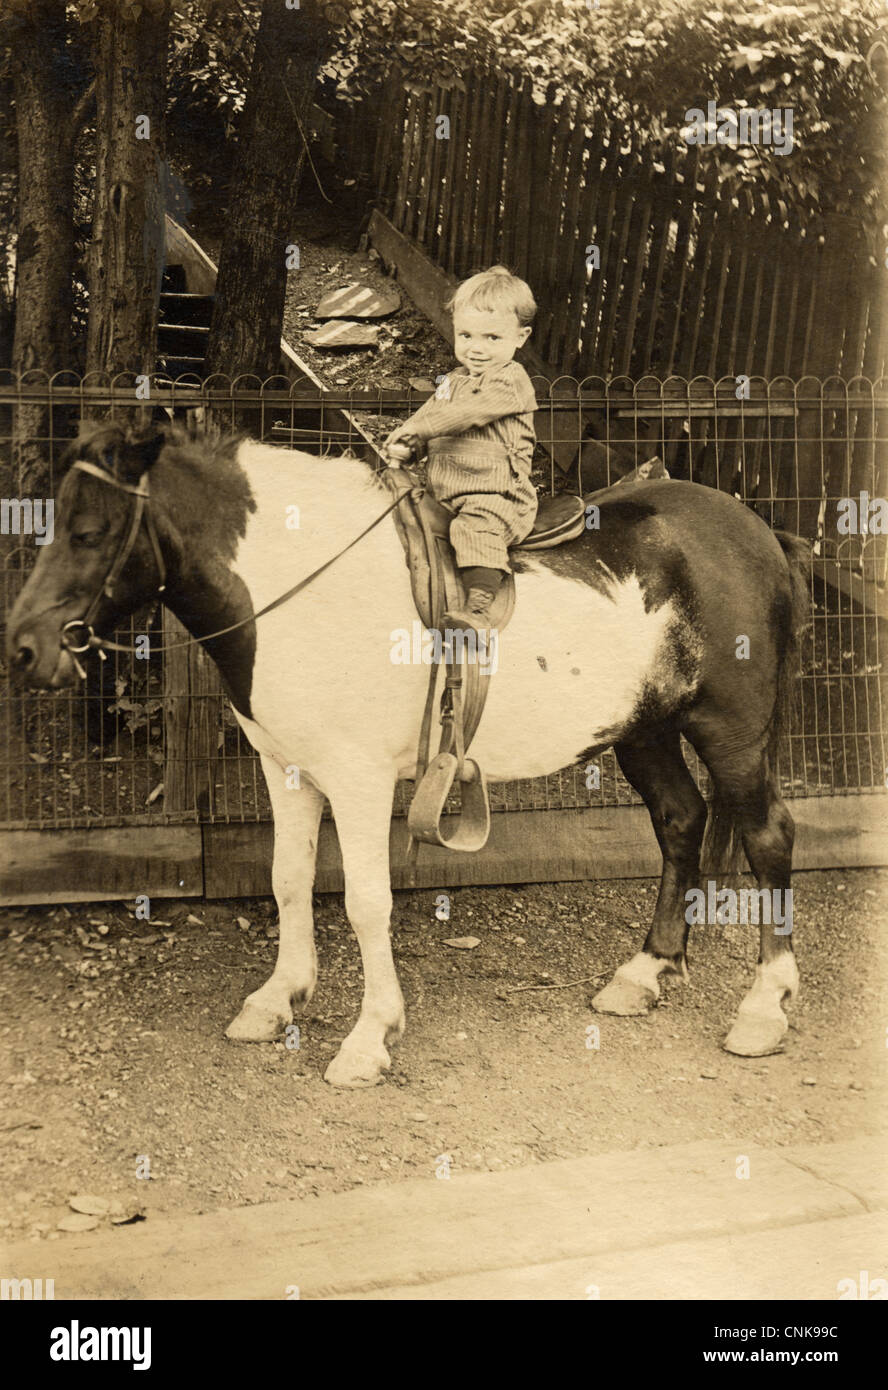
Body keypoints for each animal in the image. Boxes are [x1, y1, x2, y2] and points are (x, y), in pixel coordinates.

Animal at [6, 422, 811, 1084]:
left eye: (88, 531)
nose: (24, 650)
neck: (305, 587)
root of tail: (762, 534)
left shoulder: (358, 781)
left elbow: (366, 902)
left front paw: (370, 1038)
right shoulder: (286, 770)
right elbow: (288, 880)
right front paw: (277, 999)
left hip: (731, 732)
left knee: (768, 836)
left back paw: (763, 1009)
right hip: (644, 730)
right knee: (680, 821)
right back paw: (644, 973)